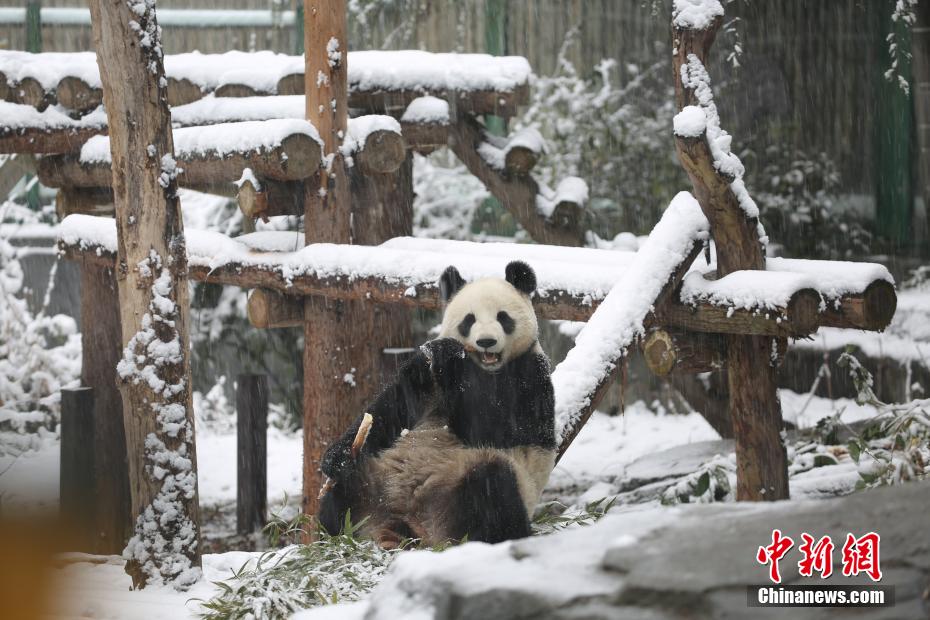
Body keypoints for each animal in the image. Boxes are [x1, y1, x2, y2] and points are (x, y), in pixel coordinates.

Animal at [320, 260, 552, 548]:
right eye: (469, 320)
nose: (486, 341)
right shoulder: (422, 374)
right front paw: (337, 456)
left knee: (492, 482)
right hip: (377, 478)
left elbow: (499, 428)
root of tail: (406, 523)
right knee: (340, 496)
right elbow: (387, 412)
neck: (481, 368)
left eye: (503, 317)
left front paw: (451, 358)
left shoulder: (530, 374)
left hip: (463, 485)